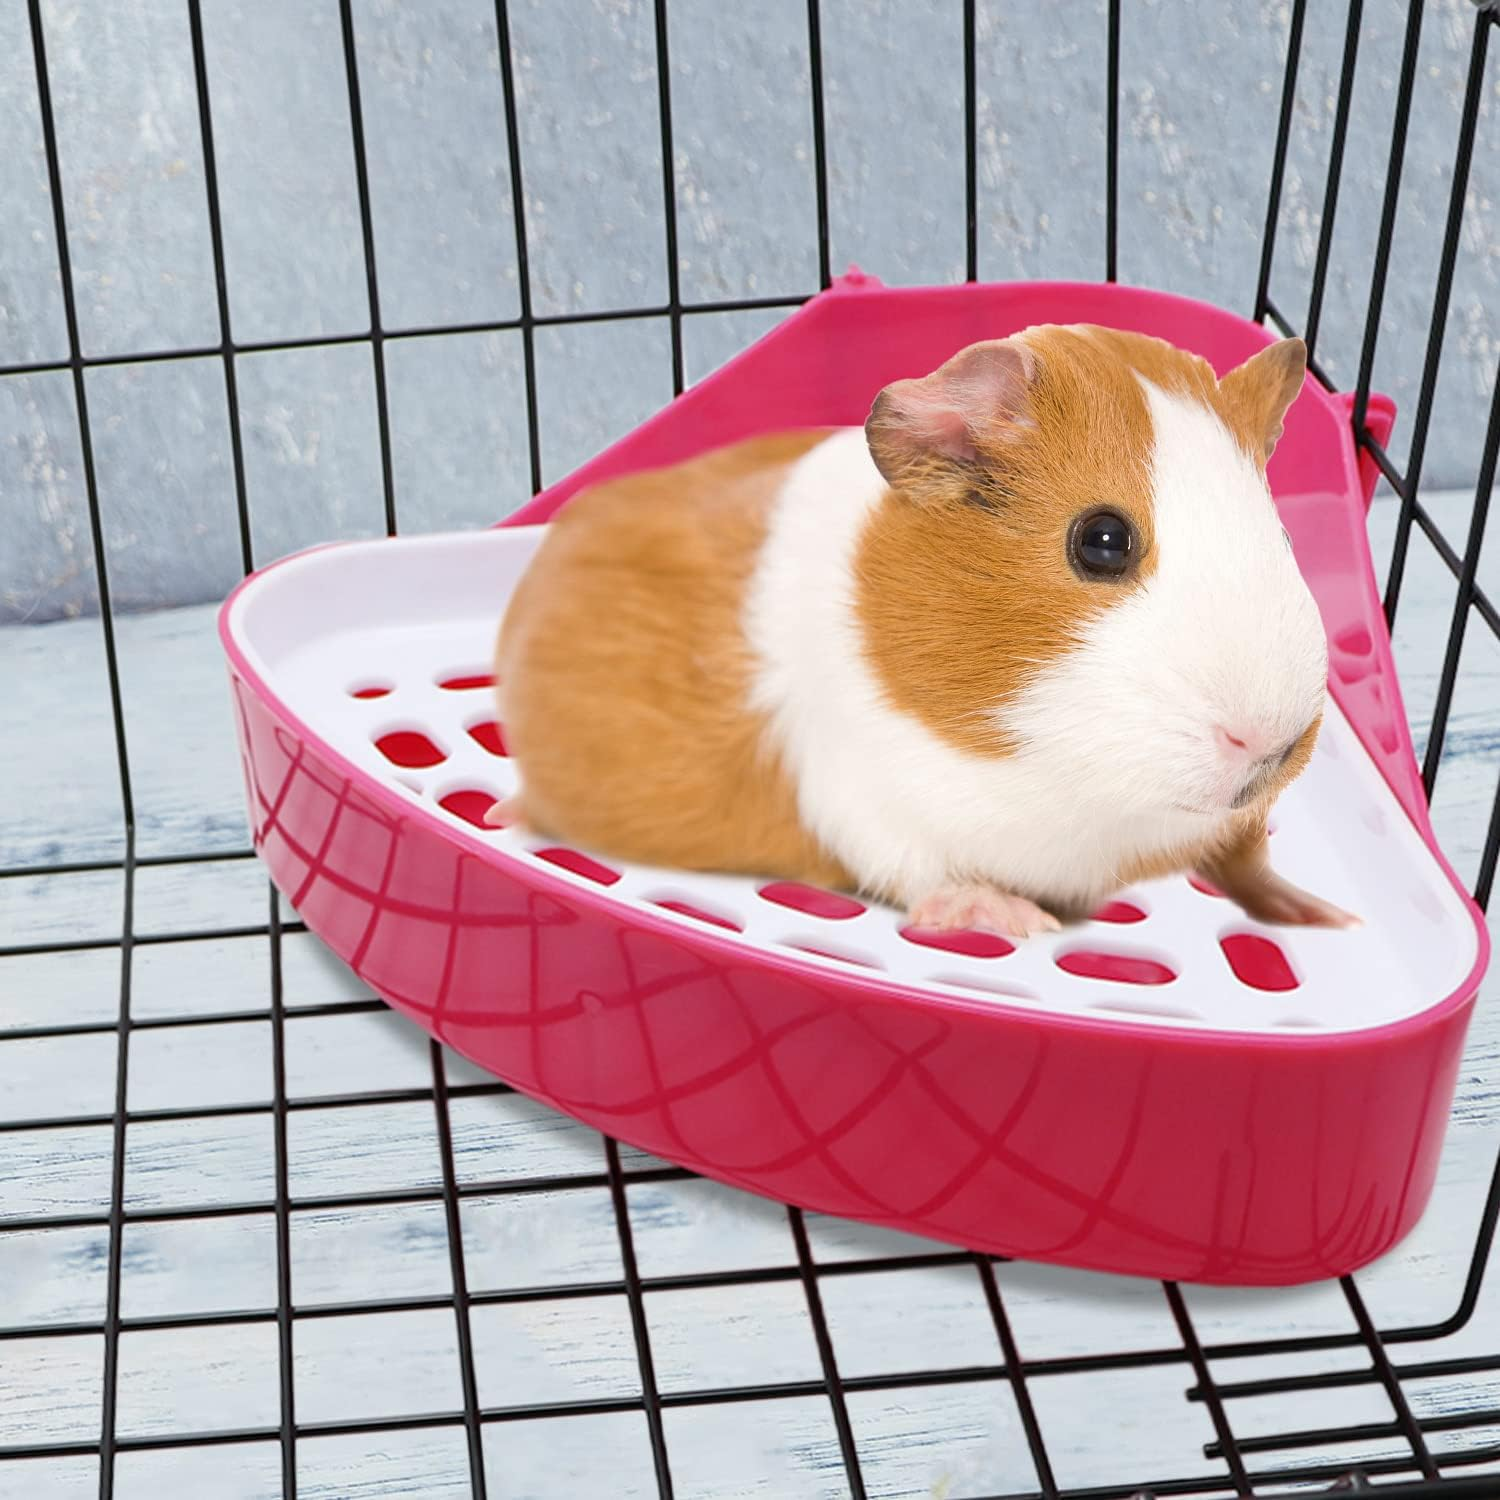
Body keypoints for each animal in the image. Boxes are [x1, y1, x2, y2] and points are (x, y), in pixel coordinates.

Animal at [490, 324, 1358, 940]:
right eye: (1103, 540)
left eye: (1280, 533)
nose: (1270, 743)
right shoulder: (866, 795)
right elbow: (930, 871)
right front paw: (1019, 919)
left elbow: (1248, 859)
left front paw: (1325, 913)